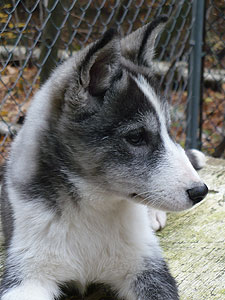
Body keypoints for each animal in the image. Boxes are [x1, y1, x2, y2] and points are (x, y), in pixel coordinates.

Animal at [0, 17, 207, 300]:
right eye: (136, 137)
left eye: (168, 128)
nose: (200, 191)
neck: (93, 207)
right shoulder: (28, 274)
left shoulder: (147, 268)